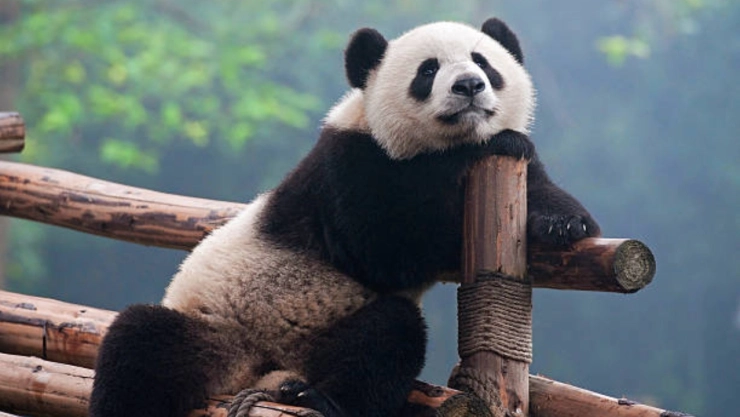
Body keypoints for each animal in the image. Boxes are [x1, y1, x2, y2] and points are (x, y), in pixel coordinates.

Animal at [90, 17, 599, 417]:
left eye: (483, 61)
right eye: (428, 70)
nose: (470, 86)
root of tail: (258, 372)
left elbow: (539, 186)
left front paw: (563, 224)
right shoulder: (349, 164)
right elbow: (384, 249)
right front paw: (479, 154)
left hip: (324, 336)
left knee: (382, 341)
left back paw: (315, 397)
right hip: (216, 328)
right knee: (139, 347)